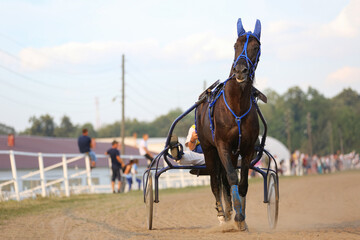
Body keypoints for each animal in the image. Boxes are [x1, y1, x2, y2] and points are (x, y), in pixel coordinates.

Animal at [197, 17, 262, 230]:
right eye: (235, 45)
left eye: (256, 47)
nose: (240, 70)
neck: (237, 105)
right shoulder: (222, 145)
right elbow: (231, 177)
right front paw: (236, 217)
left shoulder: (247, 148)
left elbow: (242, 182)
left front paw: (242, 217)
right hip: (209, 149)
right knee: (215, 181)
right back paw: (222, 215)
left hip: (233, 153)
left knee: (225, 179)